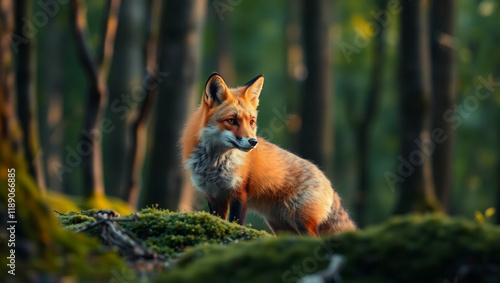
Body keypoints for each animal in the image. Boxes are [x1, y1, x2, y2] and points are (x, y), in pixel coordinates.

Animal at [180, 74, 356, 237]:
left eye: (251, 121)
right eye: (231, 121)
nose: (253, 142)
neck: (215, 163)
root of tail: (329, 184)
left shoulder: (239, 192)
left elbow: (236, 222)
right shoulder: (214, 195)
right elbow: (220, 220)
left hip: (302, 222)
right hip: (281, 226)